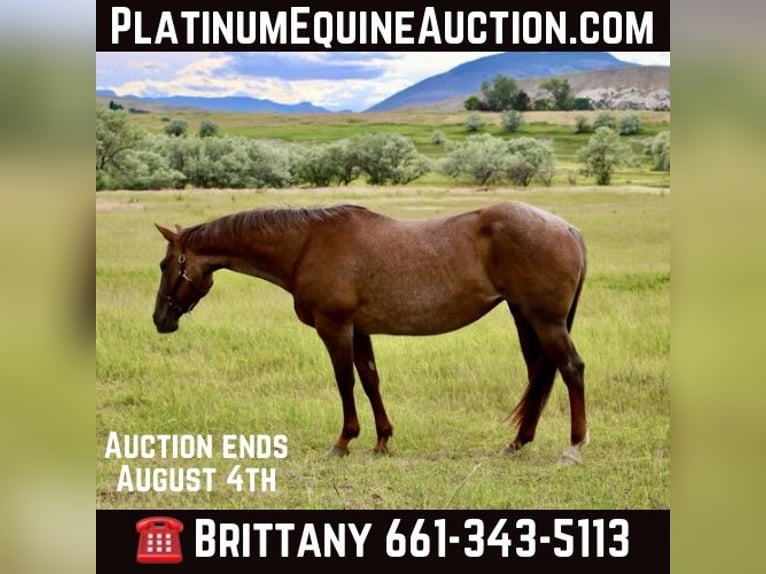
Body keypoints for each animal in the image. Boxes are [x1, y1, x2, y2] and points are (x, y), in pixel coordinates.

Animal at [152, 201, 589, 464]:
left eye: (165, 265)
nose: (160, 320)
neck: (306, 246)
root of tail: (567, 227)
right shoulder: (359, 331)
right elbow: (370, 380)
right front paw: (382, 440)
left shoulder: (335, 328)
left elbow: (345, 382)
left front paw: (344, 441)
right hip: (525, 318)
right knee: (538, 374)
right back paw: (518, 442)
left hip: (544, 321)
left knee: (570, 369)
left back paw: (573, 447)